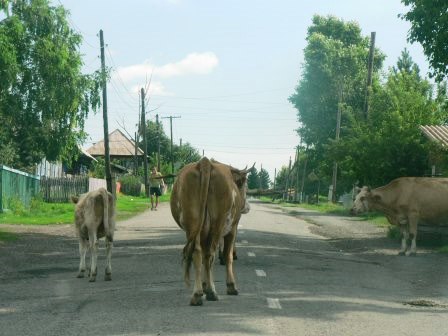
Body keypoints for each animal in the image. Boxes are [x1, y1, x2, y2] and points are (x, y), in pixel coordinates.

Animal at [170, 156, 250, 306]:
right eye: (244, 186)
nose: (247, 207)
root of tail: (205, 162)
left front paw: (204, 285)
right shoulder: (233, 229)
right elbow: (228, 256)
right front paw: (231, 286)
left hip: (192, 223)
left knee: (198, 253)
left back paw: (197, 294)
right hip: (218, 223)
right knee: (209, 255)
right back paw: (211, 292)